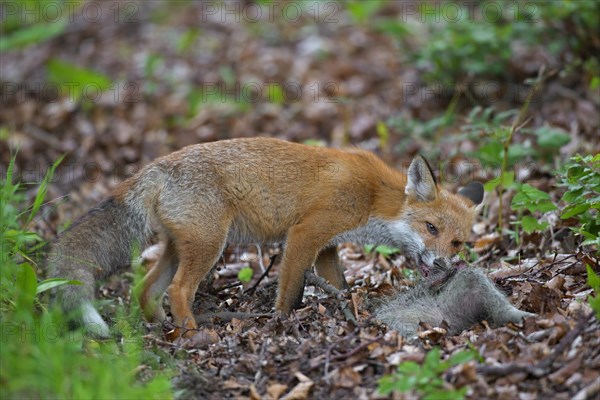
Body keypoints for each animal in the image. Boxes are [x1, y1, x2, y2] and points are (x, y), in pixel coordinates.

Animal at [49, 138, 486, 338]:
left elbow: (339, 285)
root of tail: (154, 168)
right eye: (431, 228)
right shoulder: (305, 233)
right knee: (177, 290)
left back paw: (162, 329)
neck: (376, 197)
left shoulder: (328, 245)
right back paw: (191, 333)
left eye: (458, 242)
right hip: (210, 246)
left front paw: (348, 308)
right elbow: (289, 291)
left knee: (146, 288)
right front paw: (281, 323)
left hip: (181, 246)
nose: (444, 264)